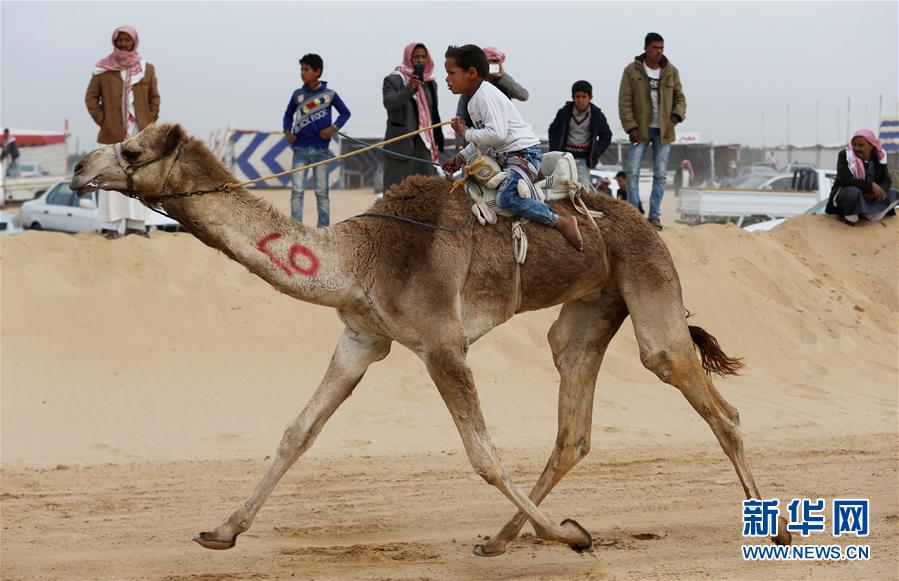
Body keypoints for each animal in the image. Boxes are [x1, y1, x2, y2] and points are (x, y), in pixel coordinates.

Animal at [70, 124, 792, 556]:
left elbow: (483, 455)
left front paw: (567, 536)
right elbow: (298, 431)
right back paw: (505, 538)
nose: (78, 167)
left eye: (131, 151)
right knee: (572, 422)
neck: (357, 258)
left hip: (648, 279)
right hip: (592, 305)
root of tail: (644, 221)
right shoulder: (362, 337)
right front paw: (222, 529)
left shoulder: (442, 343)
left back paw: (773, 524)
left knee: (703, 393)